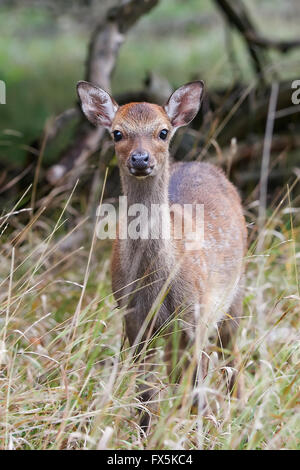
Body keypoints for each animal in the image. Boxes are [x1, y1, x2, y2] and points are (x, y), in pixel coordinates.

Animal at [77, 79, 246, 432]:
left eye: (163, 131)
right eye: (117, 133)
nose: (140, 159)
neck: (155, 282)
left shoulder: (194, 316)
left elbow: (196, 393)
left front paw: (197, 432)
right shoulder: (132, 319)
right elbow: (144, 394)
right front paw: (146, 432)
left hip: (234, 294)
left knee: (232, 357)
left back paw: (241, 410)